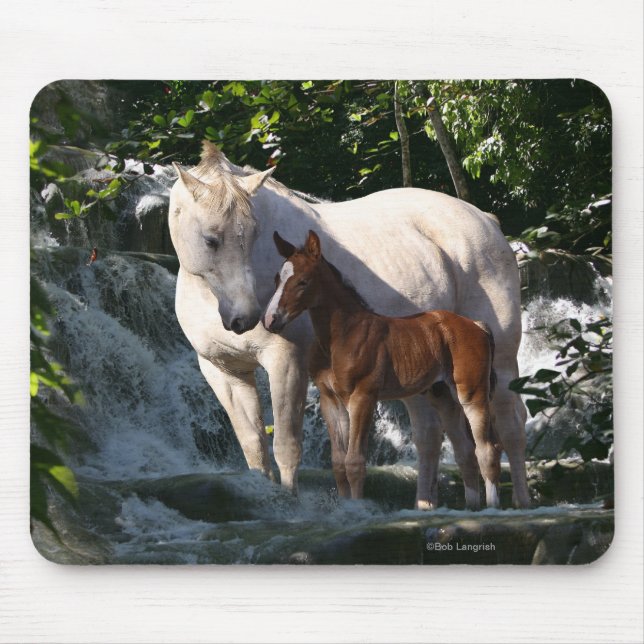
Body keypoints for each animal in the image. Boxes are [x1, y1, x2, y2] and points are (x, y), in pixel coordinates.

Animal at [264, 230, 503, 508]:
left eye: (303, 282)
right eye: (277, 279)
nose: (270, 320)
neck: (342, 336)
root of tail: (477, 326)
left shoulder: (363, 397)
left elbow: (355, 462)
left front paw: (358, 508)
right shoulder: (330, 400)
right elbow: (338, 464)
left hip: (472, 394)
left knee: (486, 449)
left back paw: (492, 507)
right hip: (443, 395)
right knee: (465, 452)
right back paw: (471, 507)